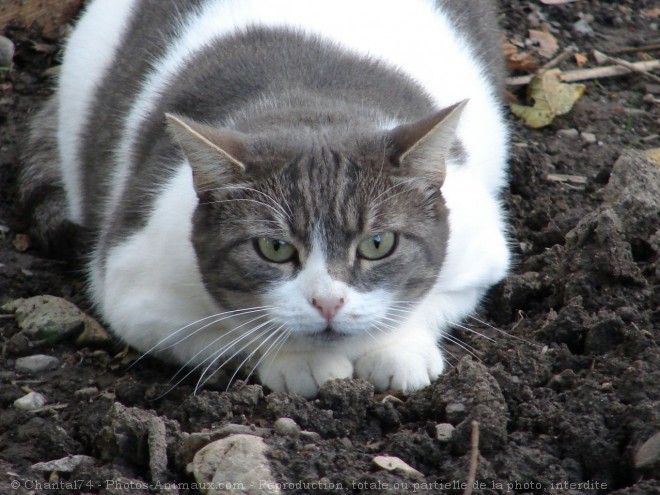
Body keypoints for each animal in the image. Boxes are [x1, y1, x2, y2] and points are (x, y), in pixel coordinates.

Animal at [19, 0, 510, 398]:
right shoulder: (136, 293)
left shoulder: (482, 250)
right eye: (274, 248)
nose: (328, 303)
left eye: (378, 244)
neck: (309, 104)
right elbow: (235, 335)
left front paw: (395, 349)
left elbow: (426, 301)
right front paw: (301, 361)